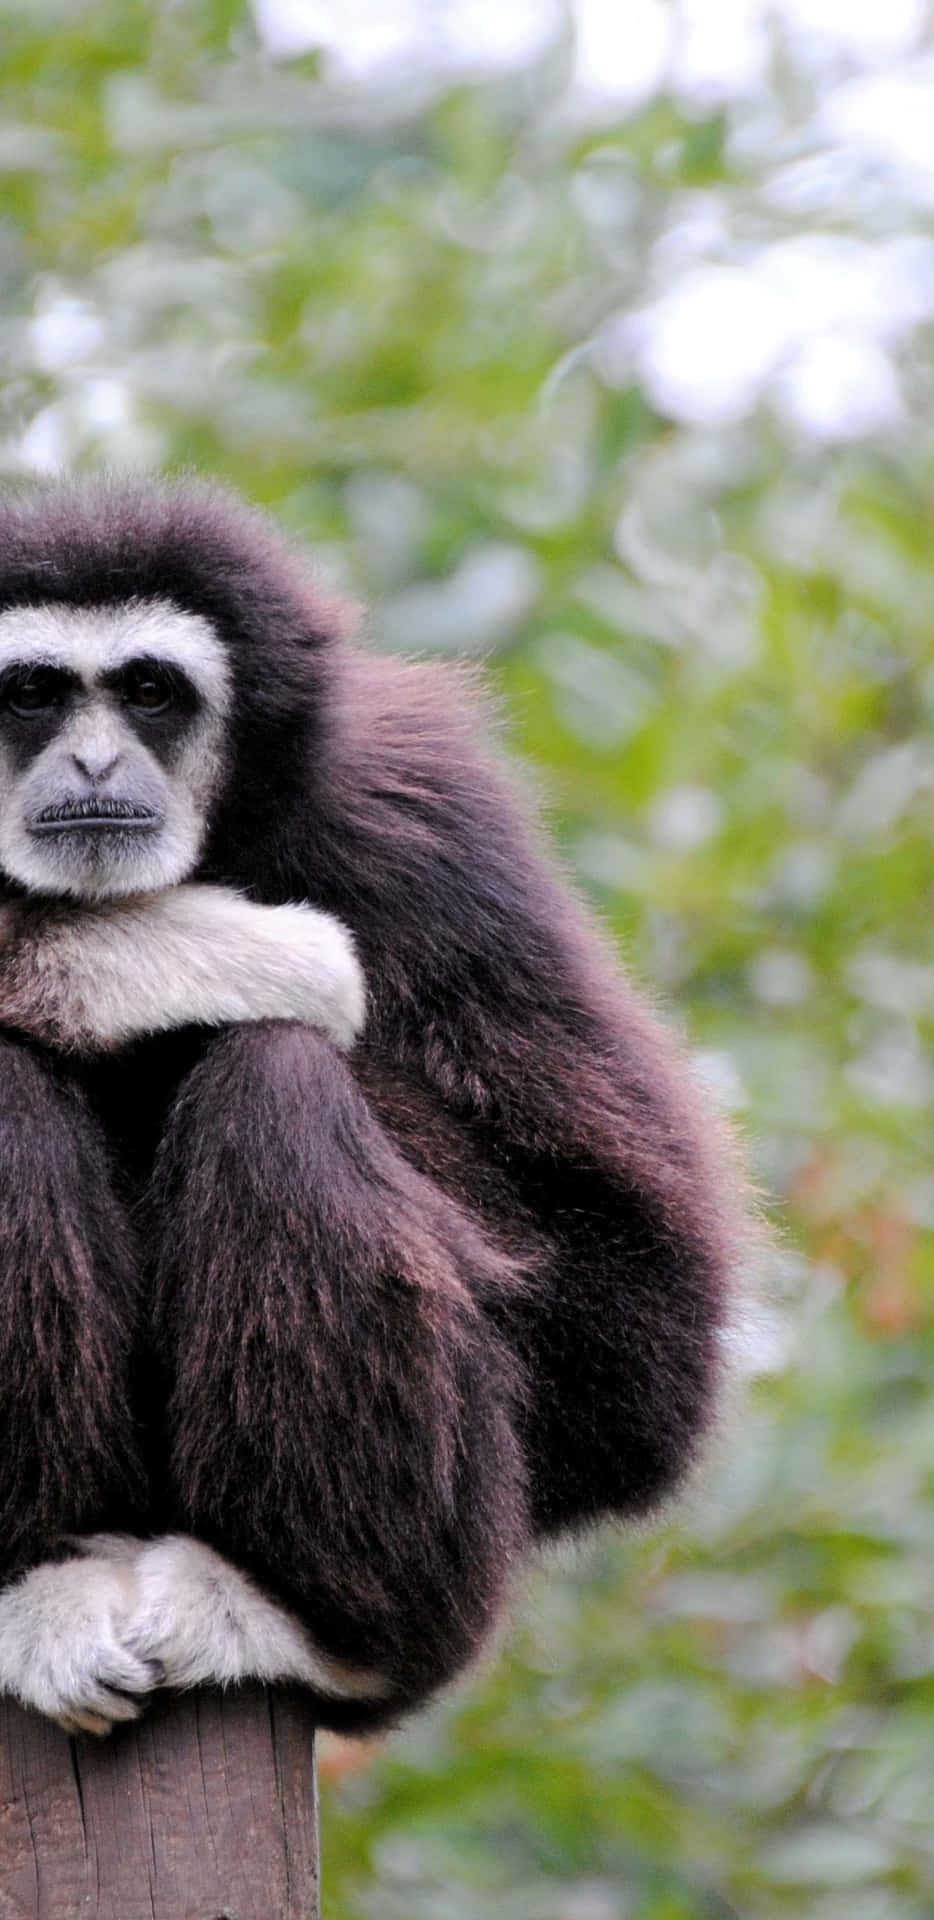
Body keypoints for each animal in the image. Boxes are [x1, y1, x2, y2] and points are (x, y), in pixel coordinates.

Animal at [0, 476, 748, 1739]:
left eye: (150, 692)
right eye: (30, 694)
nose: (95, 767)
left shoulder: (422, 820)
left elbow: (636, 1334)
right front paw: (145, 953)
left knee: (278, 1080)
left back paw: (303, 1620)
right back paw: (36, 1583)